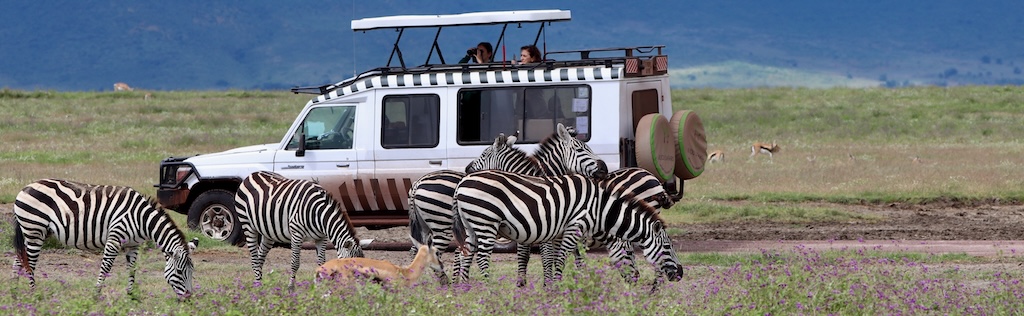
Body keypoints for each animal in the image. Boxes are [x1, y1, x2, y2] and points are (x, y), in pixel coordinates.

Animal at [12, 177, 194, 296]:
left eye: (192, 271)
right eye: (179, 271)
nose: (188, 298)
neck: (142, 218)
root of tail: (25, 188)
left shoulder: (133, 245)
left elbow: (132, 269)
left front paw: (131, 296)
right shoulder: (115, 238)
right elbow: (106, 267)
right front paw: (96, 294)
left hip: (32, 231)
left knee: (19, 260)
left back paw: (15, 293)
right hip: (34, 230)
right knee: (30, 264)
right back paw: (33, 293)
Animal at [234, 170, 364, 288]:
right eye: (351, 268)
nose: (360, 291)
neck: (318, 213)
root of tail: (251, 175)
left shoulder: (321, 237)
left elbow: (321, 263)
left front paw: (319, 287)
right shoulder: (297, 234)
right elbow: (295, 263)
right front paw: (291, 287)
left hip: (268, 233)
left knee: (260, 257)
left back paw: (260, 283)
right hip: (248, 226)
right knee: (254, 258)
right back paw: (257, 284)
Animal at [452, 169, 684, 282]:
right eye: (667, 247)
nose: (680, 274)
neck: (599, 209)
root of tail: (462, 182)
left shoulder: (562, 231)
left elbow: (568, 259)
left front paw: (570, 284)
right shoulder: (575, 226)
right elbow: (562, 259)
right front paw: (557, 288)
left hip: (471, 225)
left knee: (465, 255)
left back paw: (466, 288)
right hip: (485, 222)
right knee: (481, 258)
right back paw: (489, 287)